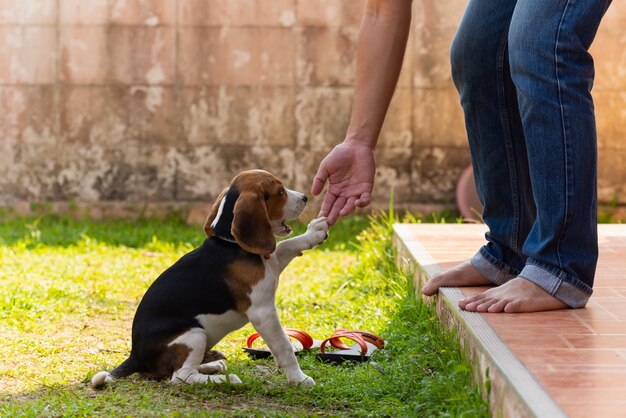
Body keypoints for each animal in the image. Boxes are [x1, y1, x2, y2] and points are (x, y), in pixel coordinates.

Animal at [92, 170, 330, 388]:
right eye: (280, 191)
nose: (305, 197)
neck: (231, 244)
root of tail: (135, 357)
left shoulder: (272, 263)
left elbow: (287, 245)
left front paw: (314, 232)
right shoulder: (263, 312)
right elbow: (284, 346)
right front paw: (299, 379)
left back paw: (212, 366)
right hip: (194, 334)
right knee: (180, 377)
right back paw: (226, 379)